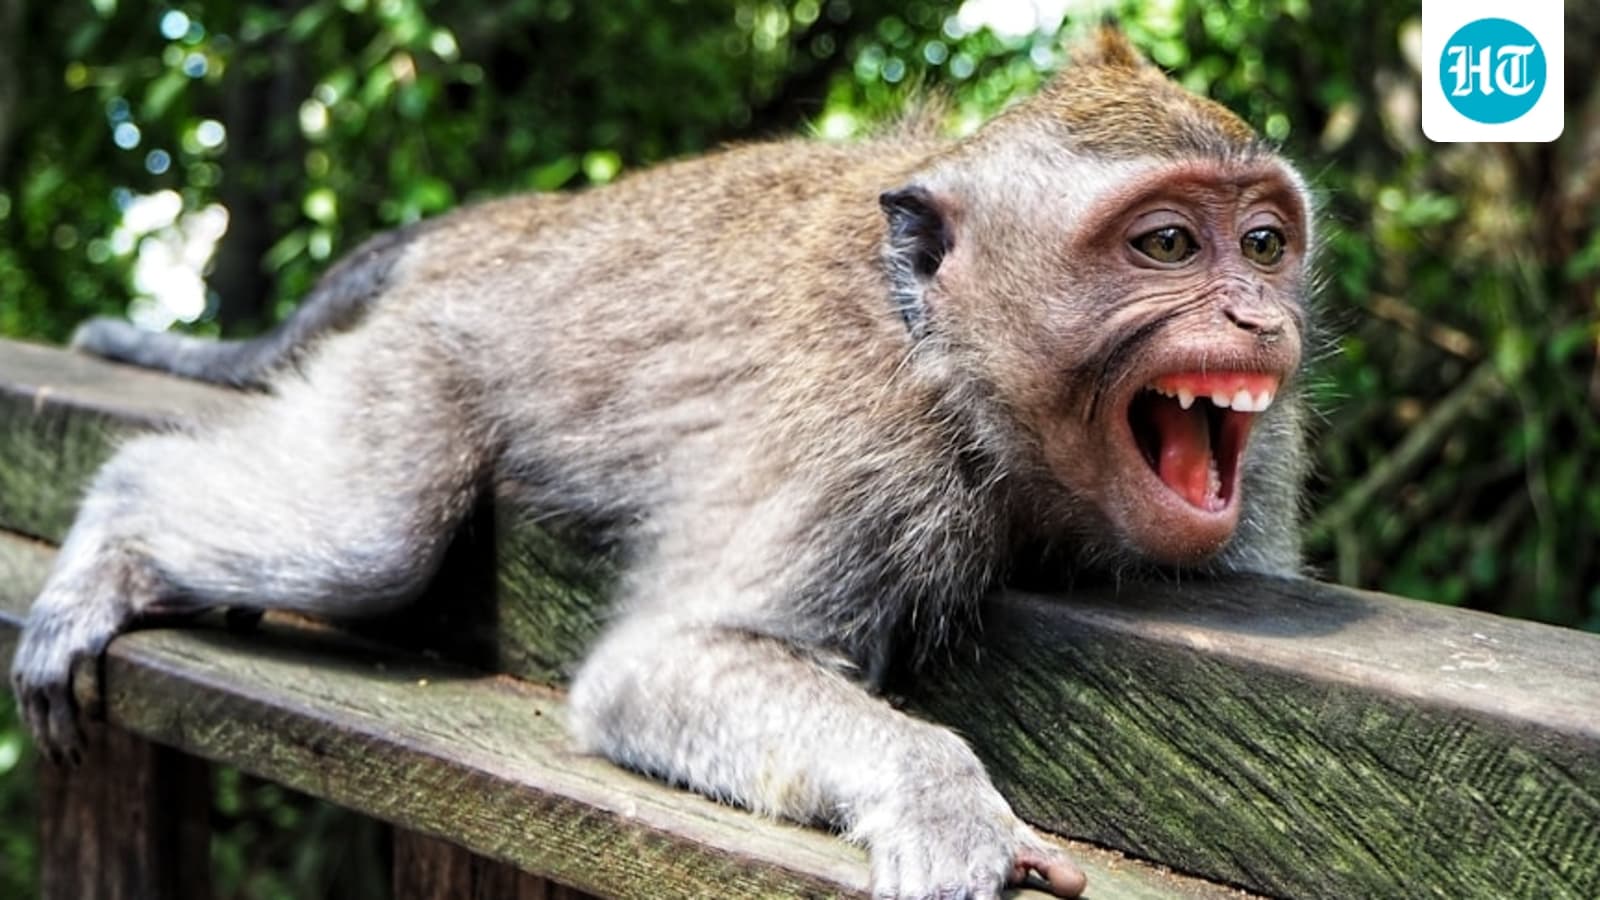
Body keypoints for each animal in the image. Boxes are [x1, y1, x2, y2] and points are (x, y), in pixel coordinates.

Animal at [11, 27, 1314, 900]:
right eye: (1165, 244)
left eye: (1262, 243)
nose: (1259, 317)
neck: (950, 362)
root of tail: (503, 222)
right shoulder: (866, 449)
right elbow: (658, 668)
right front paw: (943, 800)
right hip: (428, 351)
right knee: (365, 541)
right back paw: (118, 531)